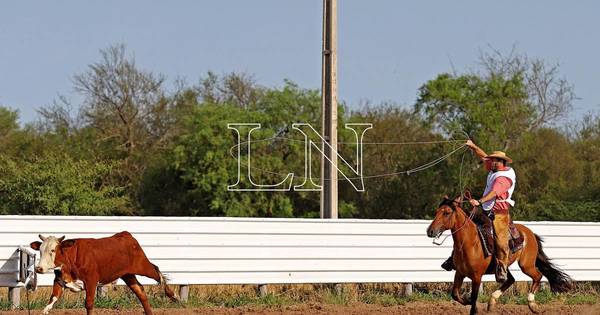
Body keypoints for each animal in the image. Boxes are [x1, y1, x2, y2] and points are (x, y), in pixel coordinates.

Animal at [30, 232, 179, 315]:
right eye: (40, 250)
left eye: (53, 250)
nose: (39, 268)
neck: (71, 257)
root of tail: (126, 235)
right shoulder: (60, 280)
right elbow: (52, 299)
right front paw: (45, 310)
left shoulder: (91, 281)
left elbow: (89, 304)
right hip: (127, 275)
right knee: (140, 291)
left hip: (142, 266)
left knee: (156, 271)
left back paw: (174, 296)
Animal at [426, 196, 572, 314]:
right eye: (437, 212)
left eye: (447, 213)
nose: (430, 231)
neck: (470, 242)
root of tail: (529, 233)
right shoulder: (460, 273)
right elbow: (455, 294)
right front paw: (467, 300)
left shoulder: (477, 276)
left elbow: (474, 297)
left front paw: (473, 307)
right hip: (503, 266)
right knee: (510, 279)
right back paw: (492, 302)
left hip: (526, 265)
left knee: (537, 276)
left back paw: (532, 305)